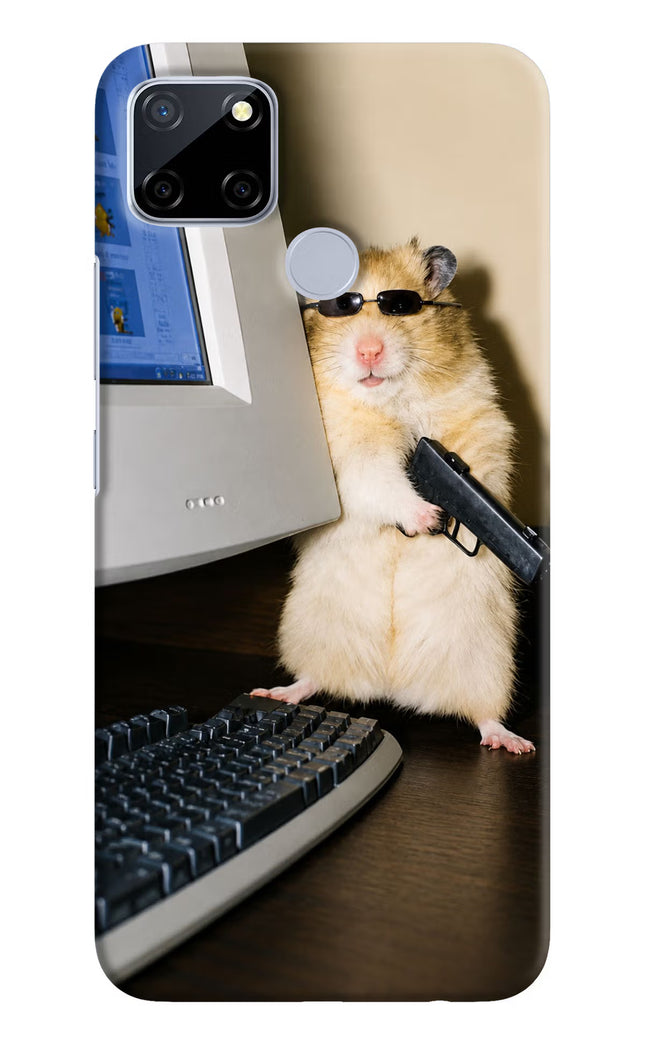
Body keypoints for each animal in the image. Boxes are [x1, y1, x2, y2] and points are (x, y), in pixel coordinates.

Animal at [252, 239, 534, 754]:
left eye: (401, 306)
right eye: (338, 307)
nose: (369, 350)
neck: (390, 401)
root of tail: (392, 686)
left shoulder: (481, 424)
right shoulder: (348, 458)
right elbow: (381, 481)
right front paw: (428, 518)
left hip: (488, 661)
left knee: (484, 714)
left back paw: (513, 742)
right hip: (311, 632)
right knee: (312, 679)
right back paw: (276, 692)